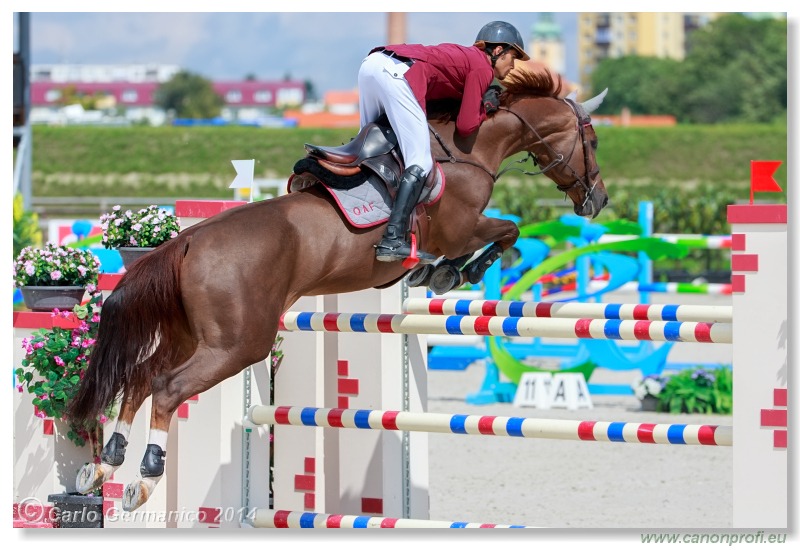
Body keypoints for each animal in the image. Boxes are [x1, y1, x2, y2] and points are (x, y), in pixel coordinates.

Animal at [69, 69, 608, 512]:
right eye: (594, 140)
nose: (597, 201)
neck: (467, 151)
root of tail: (187, 240)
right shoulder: (460, 229)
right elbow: (508, 230)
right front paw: (450, 274)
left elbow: (504, 232)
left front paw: (433, 274)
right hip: (237, 344)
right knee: (166, 386)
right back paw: (143, 480)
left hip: (192, 336)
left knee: (141, 376)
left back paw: (104, 464)